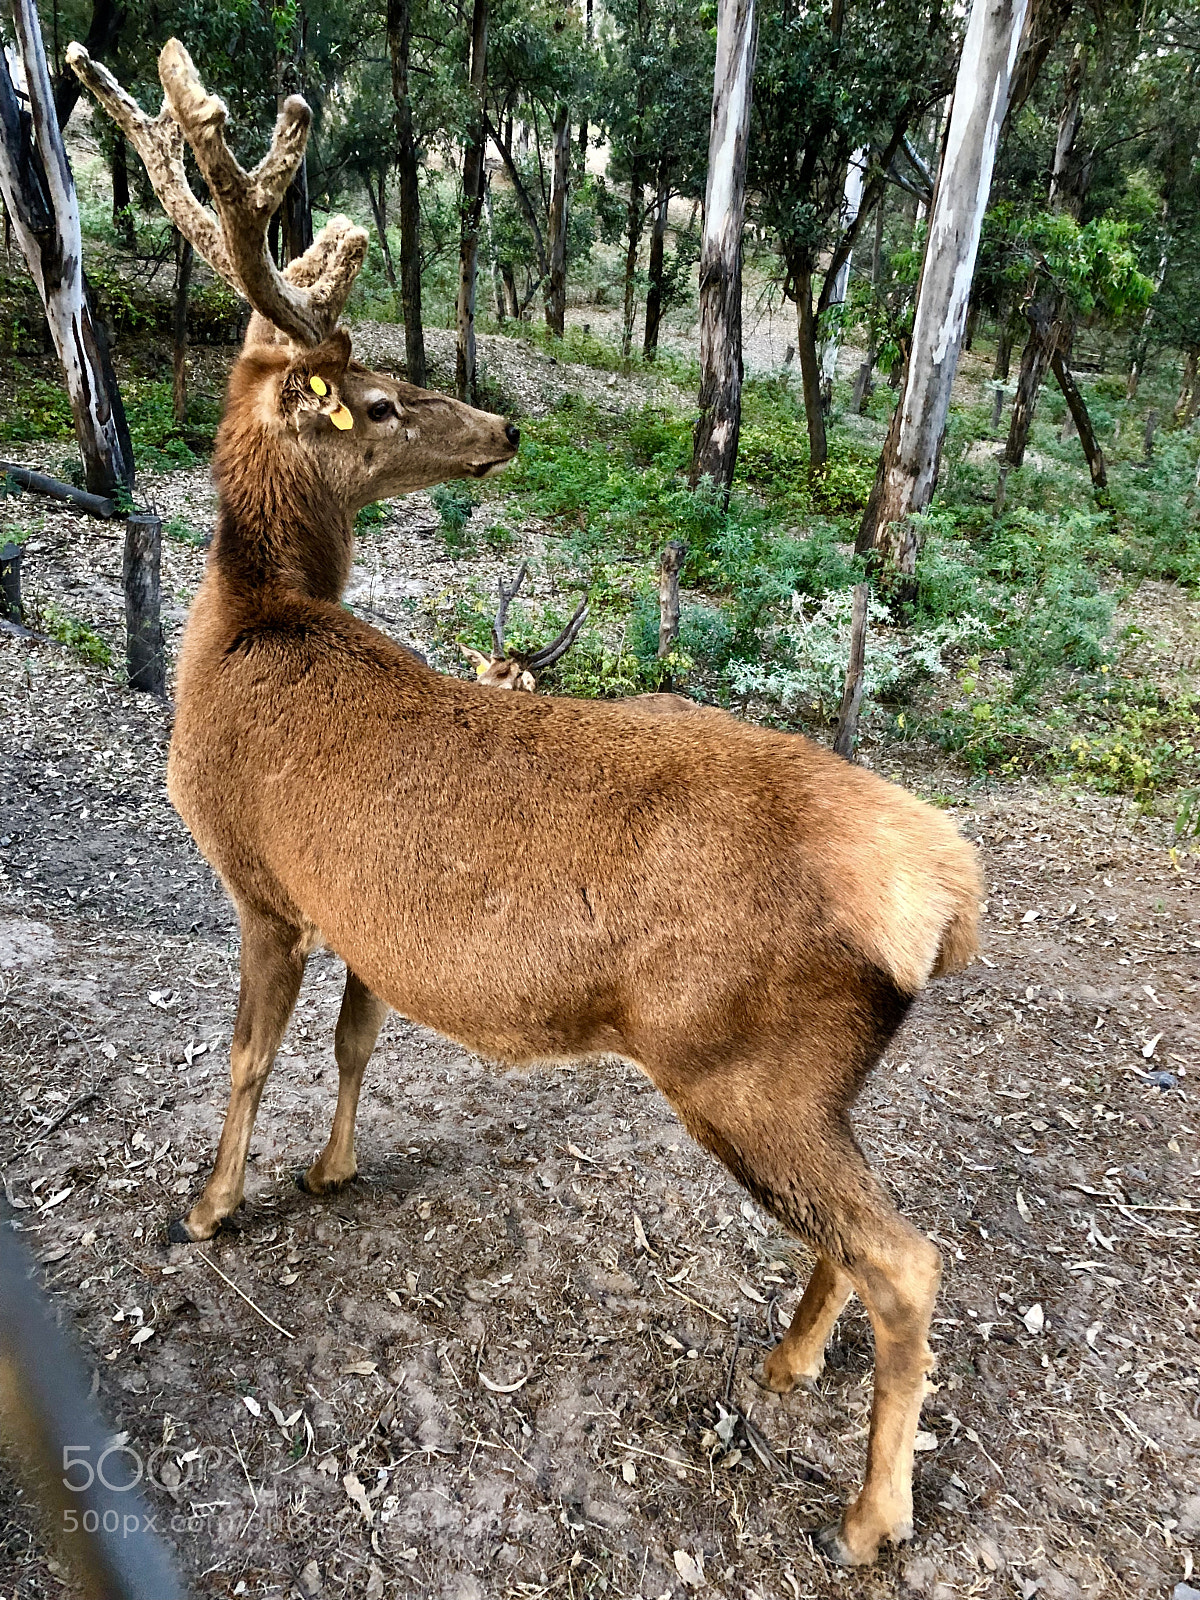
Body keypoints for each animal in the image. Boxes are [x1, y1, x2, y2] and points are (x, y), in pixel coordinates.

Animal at [72, 39, 983, 1568]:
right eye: (380, 401)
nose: (501, 424)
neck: (243, 632)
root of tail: (947, 894)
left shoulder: (263, 877)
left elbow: (251, 1054)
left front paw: (207, 1205)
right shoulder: (359, 914)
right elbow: (355, 1044)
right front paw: (329, 1171)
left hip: (744, 1059)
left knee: (908, 1256)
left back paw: (872, 1515)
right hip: (814, 1079)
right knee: (854, 1239)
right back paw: (788, 1362)